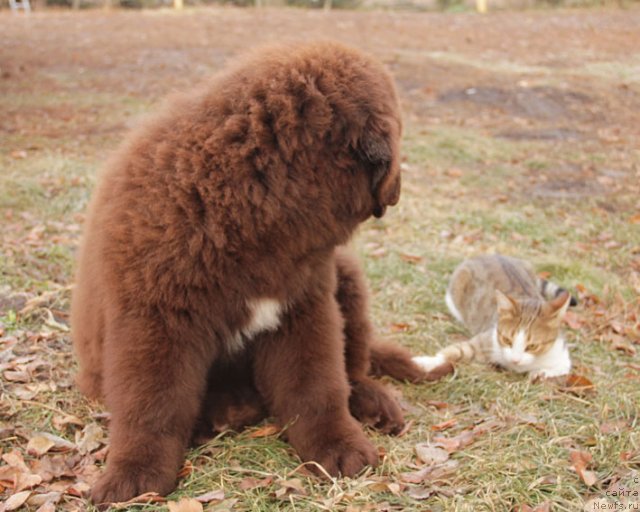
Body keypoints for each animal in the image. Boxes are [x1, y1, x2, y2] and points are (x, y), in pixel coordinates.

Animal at [71, 41, 444, 504]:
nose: (397, 192)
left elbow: (318, 386)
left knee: (355, 364)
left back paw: (372, 404)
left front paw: (339, 449)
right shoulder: (154, 319)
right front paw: (134, 476)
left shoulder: (304, 307)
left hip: (347, 276)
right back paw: (228, 410)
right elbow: (152, 405)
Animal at [412, 254, 576, 378]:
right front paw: (425, 362)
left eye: (532, 346)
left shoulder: (562, 357)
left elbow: (557, 368)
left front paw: (539, 372)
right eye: (507, 340)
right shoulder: (485, 341)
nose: (515, 360)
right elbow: (454, 351)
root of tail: (491, 255)